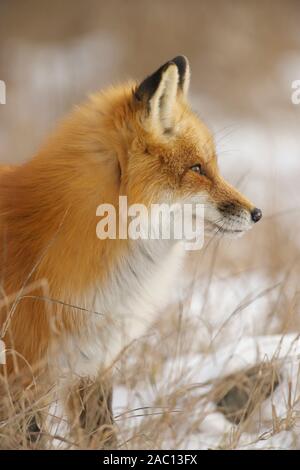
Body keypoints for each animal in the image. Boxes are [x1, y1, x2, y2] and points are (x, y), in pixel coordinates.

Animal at [0, 56, 262, 448]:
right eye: (197, 169)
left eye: (211, 167)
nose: (257, 213)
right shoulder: (23, 374)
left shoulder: (91, 364)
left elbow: (104, 433)